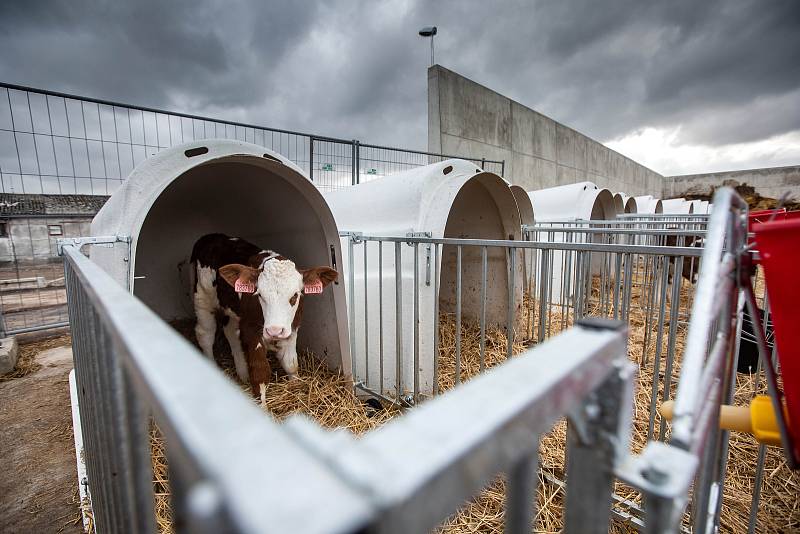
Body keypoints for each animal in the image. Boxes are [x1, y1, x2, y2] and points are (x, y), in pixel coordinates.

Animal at [191, 233, 338, 394]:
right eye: (259, 294)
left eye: (295, 295)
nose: (275, 330)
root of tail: (209, 237)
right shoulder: (250, 329)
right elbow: (259, 373)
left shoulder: (293, 328)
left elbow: (291, 364)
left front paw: (295, 384)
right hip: (202, 297)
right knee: (205, 334)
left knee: (230, 332)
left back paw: (243, 374)